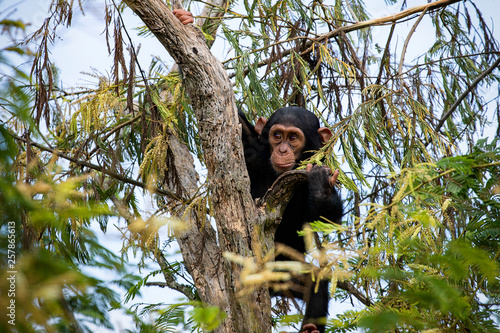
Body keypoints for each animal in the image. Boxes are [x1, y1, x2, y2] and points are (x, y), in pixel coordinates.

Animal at [239, 107, 344, 332]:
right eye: (277, 136)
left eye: (293, 138)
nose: (282, 150)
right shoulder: (250, 148)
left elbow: (328, 219)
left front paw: (322, 186)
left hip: (286, 274)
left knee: (317, 280)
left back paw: (310, 329)